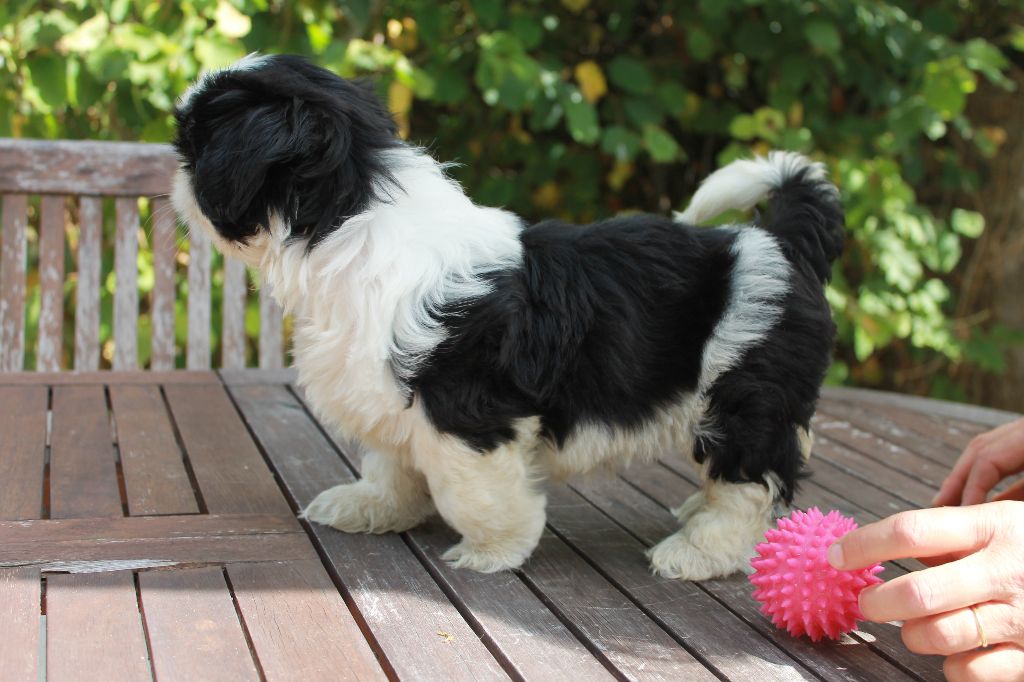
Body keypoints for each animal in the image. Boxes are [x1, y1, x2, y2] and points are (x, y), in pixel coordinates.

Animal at [172, 54, 844, 580]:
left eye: (196, 148)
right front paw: (374, 507)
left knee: (751, 480)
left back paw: (700, 549)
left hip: (745, 400)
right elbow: (390, 462)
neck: (351, 223)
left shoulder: (468, 410)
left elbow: (475, 489)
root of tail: (780, 242)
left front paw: (494, 548)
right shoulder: (386, 390)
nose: (176, 183)